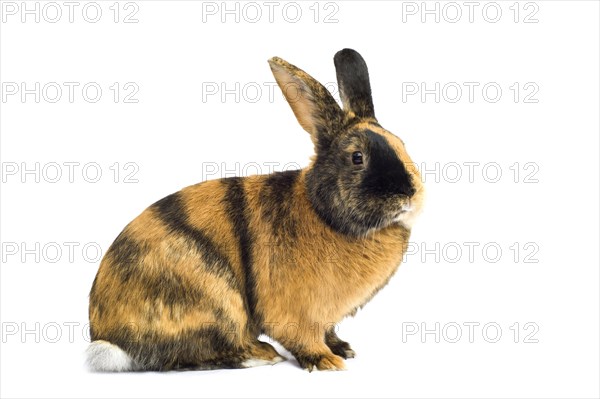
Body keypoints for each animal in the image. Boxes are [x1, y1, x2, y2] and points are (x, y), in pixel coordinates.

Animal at [88, 48, 426, 374]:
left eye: (402, 144)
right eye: (357, 158)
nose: (409, 194)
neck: (324, 214)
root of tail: (108, 337)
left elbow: (328, 332)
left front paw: (342, 348)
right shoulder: (297, 311)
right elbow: (303, 337)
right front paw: (326, 361)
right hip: (215, 304)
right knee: (185, 355)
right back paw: (260, 355)